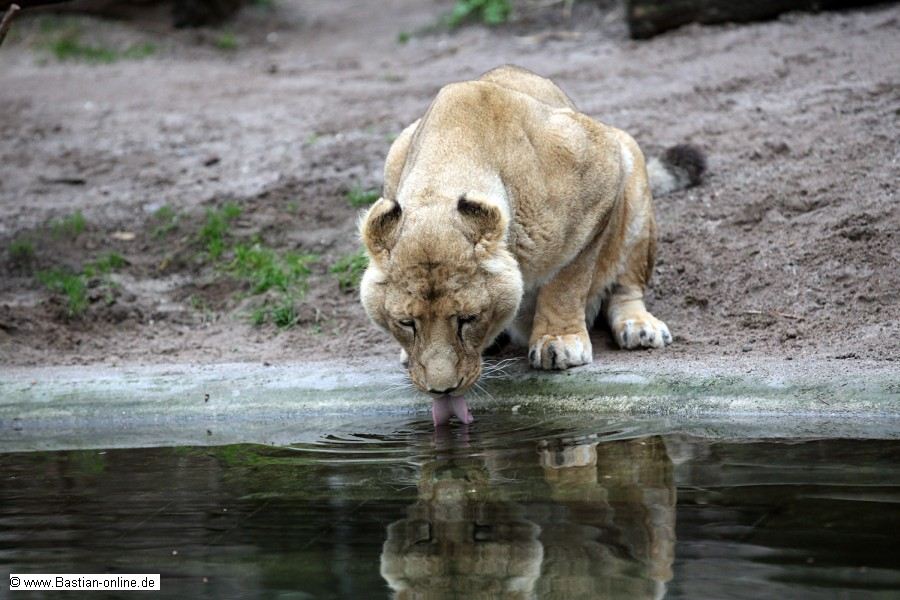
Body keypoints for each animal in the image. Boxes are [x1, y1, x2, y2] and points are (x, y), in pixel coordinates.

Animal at [360, 65, 704, 397]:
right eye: (406, 323)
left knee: (626, 286)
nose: (442, 391)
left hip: (631, 166)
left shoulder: (600, 164)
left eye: (468, 319)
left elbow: (568, 278)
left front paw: (559, 340)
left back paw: (638, 327)